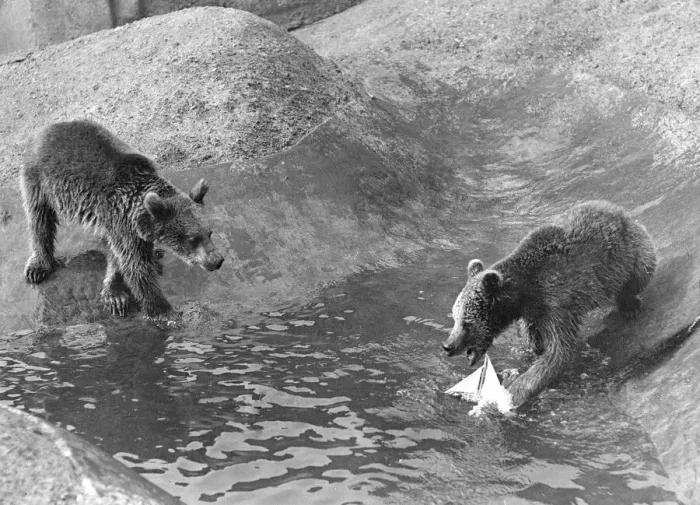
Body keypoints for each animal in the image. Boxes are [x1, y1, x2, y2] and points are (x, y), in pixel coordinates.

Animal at [20, 119, 224, 318]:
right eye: (193, 238)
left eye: (209, 233)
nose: (217, 260)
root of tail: (46, 128)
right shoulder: (120, 218)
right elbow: (135, 265)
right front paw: (163, 310)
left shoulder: (123, 225)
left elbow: (119, 257)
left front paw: (116, 292)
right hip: (41, 181)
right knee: (39, 219)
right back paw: (38, 266)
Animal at [441, 200, 656, 408]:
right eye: (455, 317)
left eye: (467, 322)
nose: (447, 346)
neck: (524, 293)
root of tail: (616, 209)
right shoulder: (533, 313)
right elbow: (534, 339)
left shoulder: (556, 302)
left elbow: (558, 352)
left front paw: (509, 395)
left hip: (629, 252)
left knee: (640, 272)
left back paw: (629, 304)